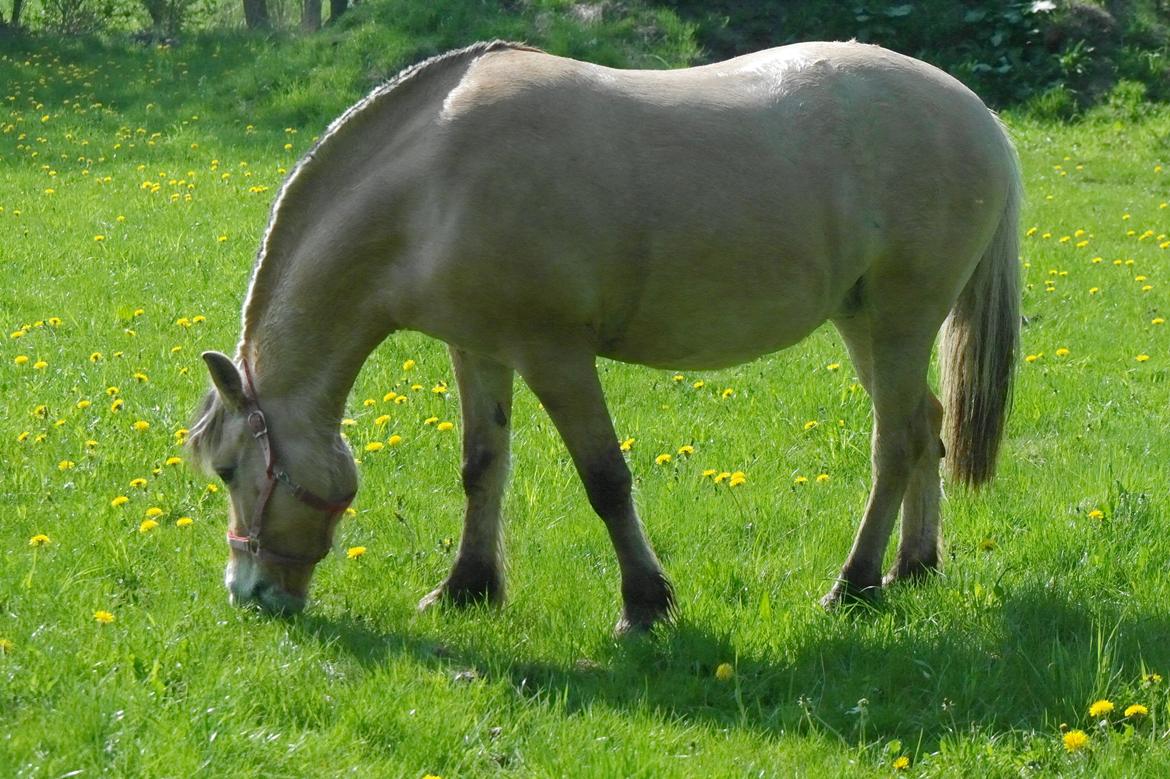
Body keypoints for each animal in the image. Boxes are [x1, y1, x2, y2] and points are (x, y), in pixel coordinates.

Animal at [187, 39, 1020, 631]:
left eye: (228, 469)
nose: (248, 591)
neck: (434, 185)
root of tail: (978, 115)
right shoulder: (479, 348)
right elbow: (482, 467)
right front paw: (466, 589)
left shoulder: (556, 355)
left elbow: (605, 478)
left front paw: (645, 604)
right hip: (866, 324)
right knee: (927, 427)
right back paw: (914, 566)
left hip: (901, 319)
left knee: (897, 443)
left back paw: (854, 584)